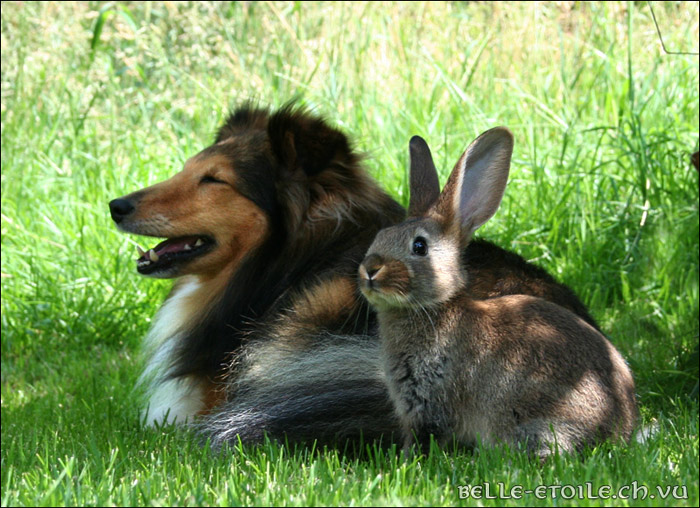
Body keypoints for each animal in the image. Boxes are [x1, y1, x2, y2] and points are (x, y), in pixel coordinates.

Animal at [358, 129, 636, 458]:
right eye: (380, 236)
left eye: (420, 246)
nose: (370, 270)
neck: (436, 308)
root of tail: (622, 429)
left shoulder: (431, 400)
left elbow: (425, 437)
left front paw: (405, 460)